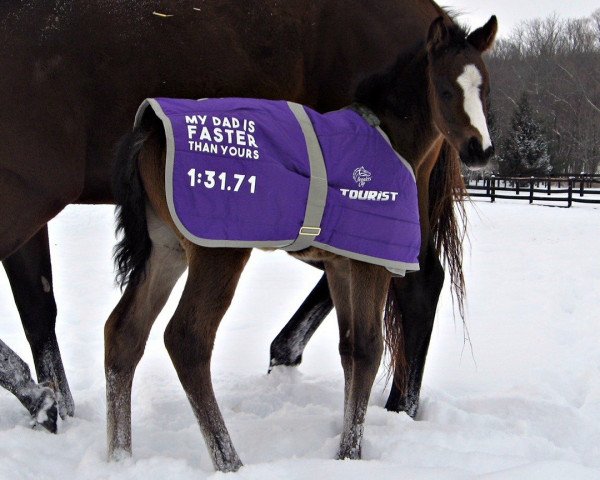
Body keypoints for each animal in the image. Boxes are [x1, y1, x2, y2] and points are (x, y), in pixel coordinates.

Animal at [2, 0, 474, 428]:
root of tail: (434, 15)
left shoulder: (25, 196)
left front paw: (40, 400)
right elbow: (38, 310)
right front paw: (54, 408)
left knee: (418, 283)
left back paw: (399, 411)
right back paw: (291, 354)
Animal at [104, 15, 496, 472]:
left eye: (485, 88)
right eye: (446, 89)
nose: (480, 150)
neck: (388, 139)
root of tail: (149, 130)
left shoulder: (343, 263)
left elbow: (350, 349)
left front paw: (346, 449)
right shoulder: (372, 262)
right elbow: (369, 348)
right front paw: (350, 454)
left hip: (165, 249)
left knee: (124, 333)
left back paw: (119, 457)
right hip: (218, 252)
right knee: (187, 339)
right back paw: (229, 461)